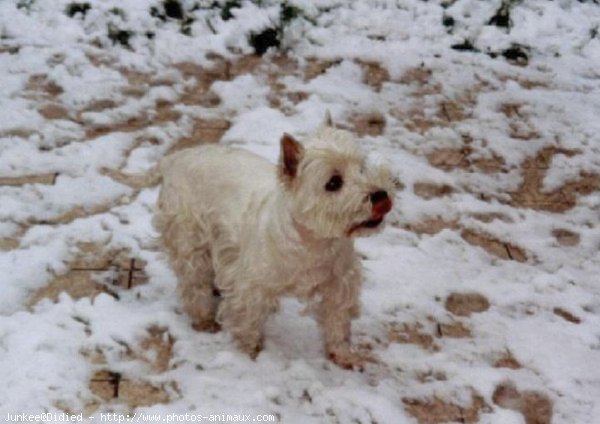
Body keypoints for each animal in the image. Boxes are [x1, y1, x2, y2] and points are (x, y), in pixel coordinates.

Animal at [154, 117, 394, 370]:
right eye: (334, 183)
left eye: (362, 168)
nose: (381, 196)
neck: (313, 244)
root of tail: (173, 160)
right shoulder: (251, 286)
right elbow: (248, 320)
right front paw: (250, 352)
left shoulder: (340, 283)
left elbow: (338, 320)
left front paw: (343, 354)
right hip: (189, 239)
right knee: (193, 283)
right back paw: (204, 318)